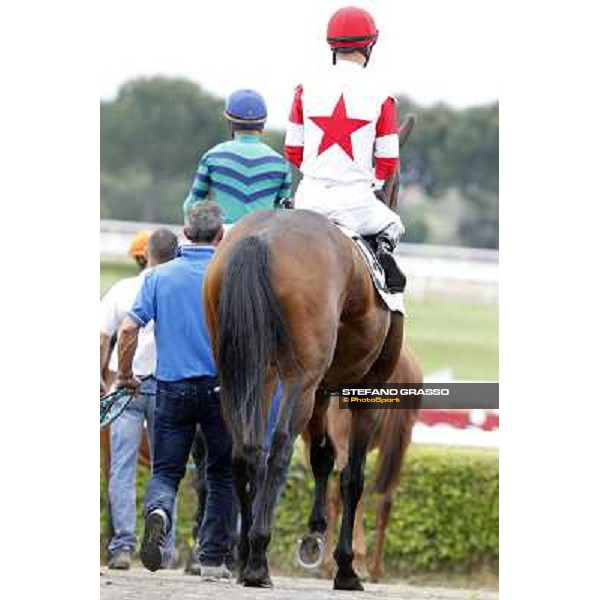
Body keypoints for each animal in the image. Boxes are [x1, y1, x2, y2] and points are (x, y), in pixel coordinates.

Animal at [202, 207, 412, 592]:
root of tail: (261, 238)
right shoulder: (366, 391)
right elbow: (352, 477)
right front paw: (345, 567)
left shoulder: (318, 390)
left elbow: (322, 456)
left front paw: (315, 534)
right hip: (299, 381)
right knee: (280, 448)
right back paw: (258, 560)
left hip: (245, 370)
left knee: (247, 449)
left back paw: (245, 556)